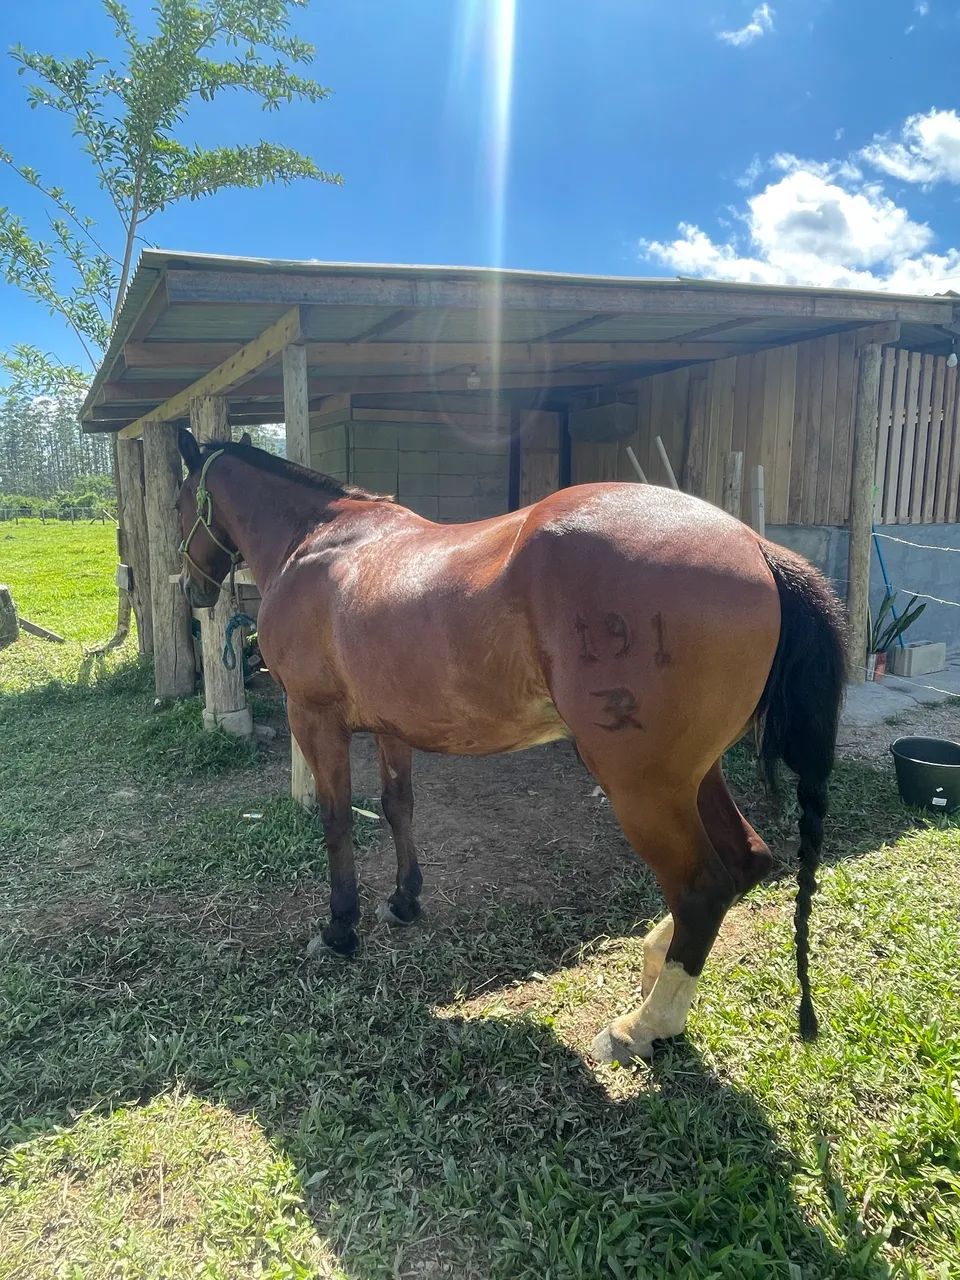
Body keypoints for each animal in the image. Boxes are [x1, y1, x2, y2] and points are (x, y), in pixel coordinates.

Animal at [175, 428, 846, 1064]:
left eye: (180, 504)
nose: (193, 593)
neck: (322, 543)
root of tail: (756, 547)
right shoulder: (392, 727)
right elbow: (397, 808)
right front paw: (404, 901)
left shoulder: (314, 719)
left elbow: (338, 821)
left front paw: (341, 928)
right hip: (694, 777)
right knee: (746, 862)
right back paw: (656, 965)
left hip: (643, 787)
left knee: (701, 888)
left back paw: (643, 1026)